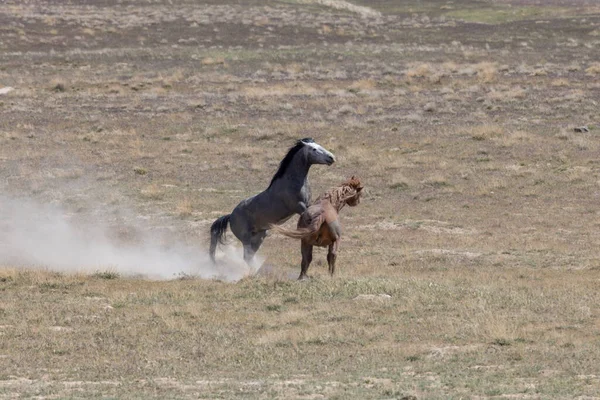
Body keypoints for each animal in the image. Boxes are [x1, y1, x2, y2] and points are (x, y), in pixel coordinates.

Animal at [209, 139, 336, 268]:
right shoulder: (299, 206)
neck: (292, 182)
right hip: (246, 238)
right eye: (314, 149)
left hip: (259, 237)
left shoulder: (309, 204)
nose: (331, 157)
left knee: (250, 257)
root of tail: (230, 216)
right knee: (246, 257)